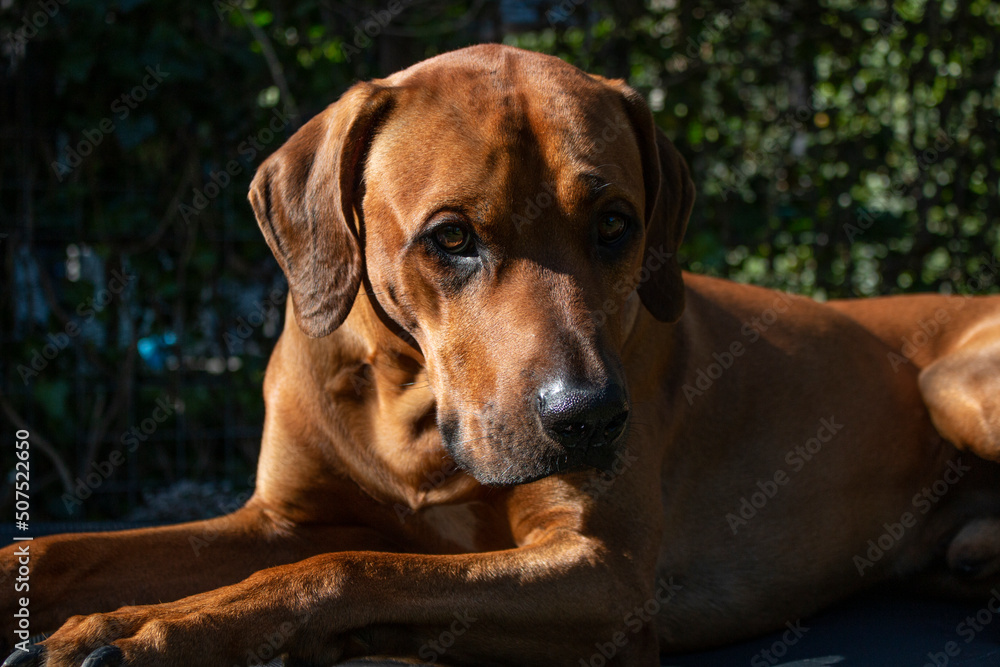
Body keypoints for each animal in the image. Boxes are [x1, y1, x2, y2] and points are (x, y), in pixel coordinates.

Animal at [1, 44, 1000, 664]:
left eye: (615, 225)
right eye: (451, 238)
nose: (590, 418)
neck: (408, 403)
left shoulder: (605, 577)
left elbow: (348, 567)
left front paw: (150, 631)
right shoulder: (281, 518)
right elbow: (69, 551)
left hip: (952, 379)